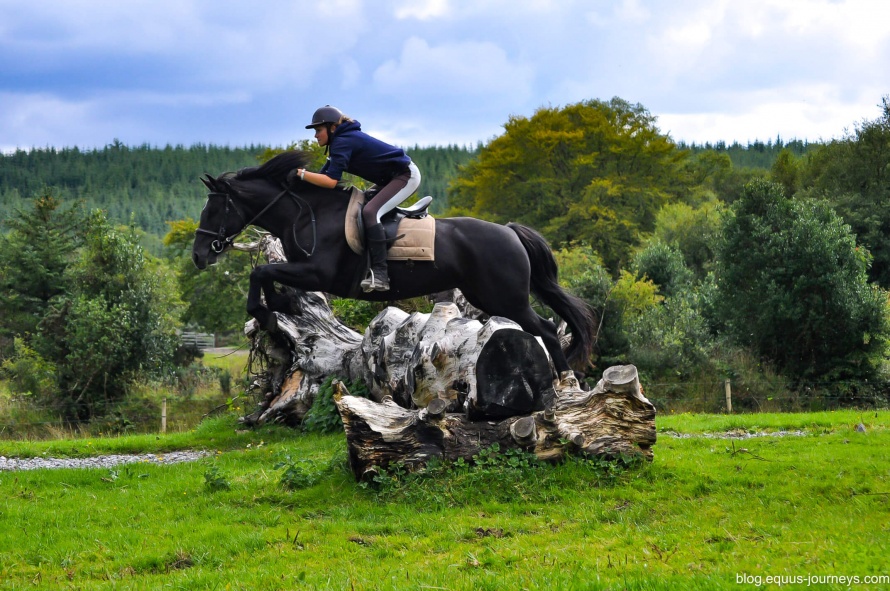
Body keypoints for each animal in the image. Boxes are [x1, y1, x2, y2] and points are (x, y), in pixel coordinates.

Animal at [194, 150, 596, 376]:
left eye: (214, 210)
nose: (200, 255)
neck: (309, 214)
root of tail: (510, 231)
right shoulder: (306, 273)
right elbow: (268, 278)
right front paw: (275, 306)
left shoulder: (318, 273)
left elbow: (260, 272)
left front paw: (265, 314)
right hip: (486, 295)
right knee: (543, 327)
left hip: (505, 296)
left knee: (547, 328)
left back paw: (566, 383)